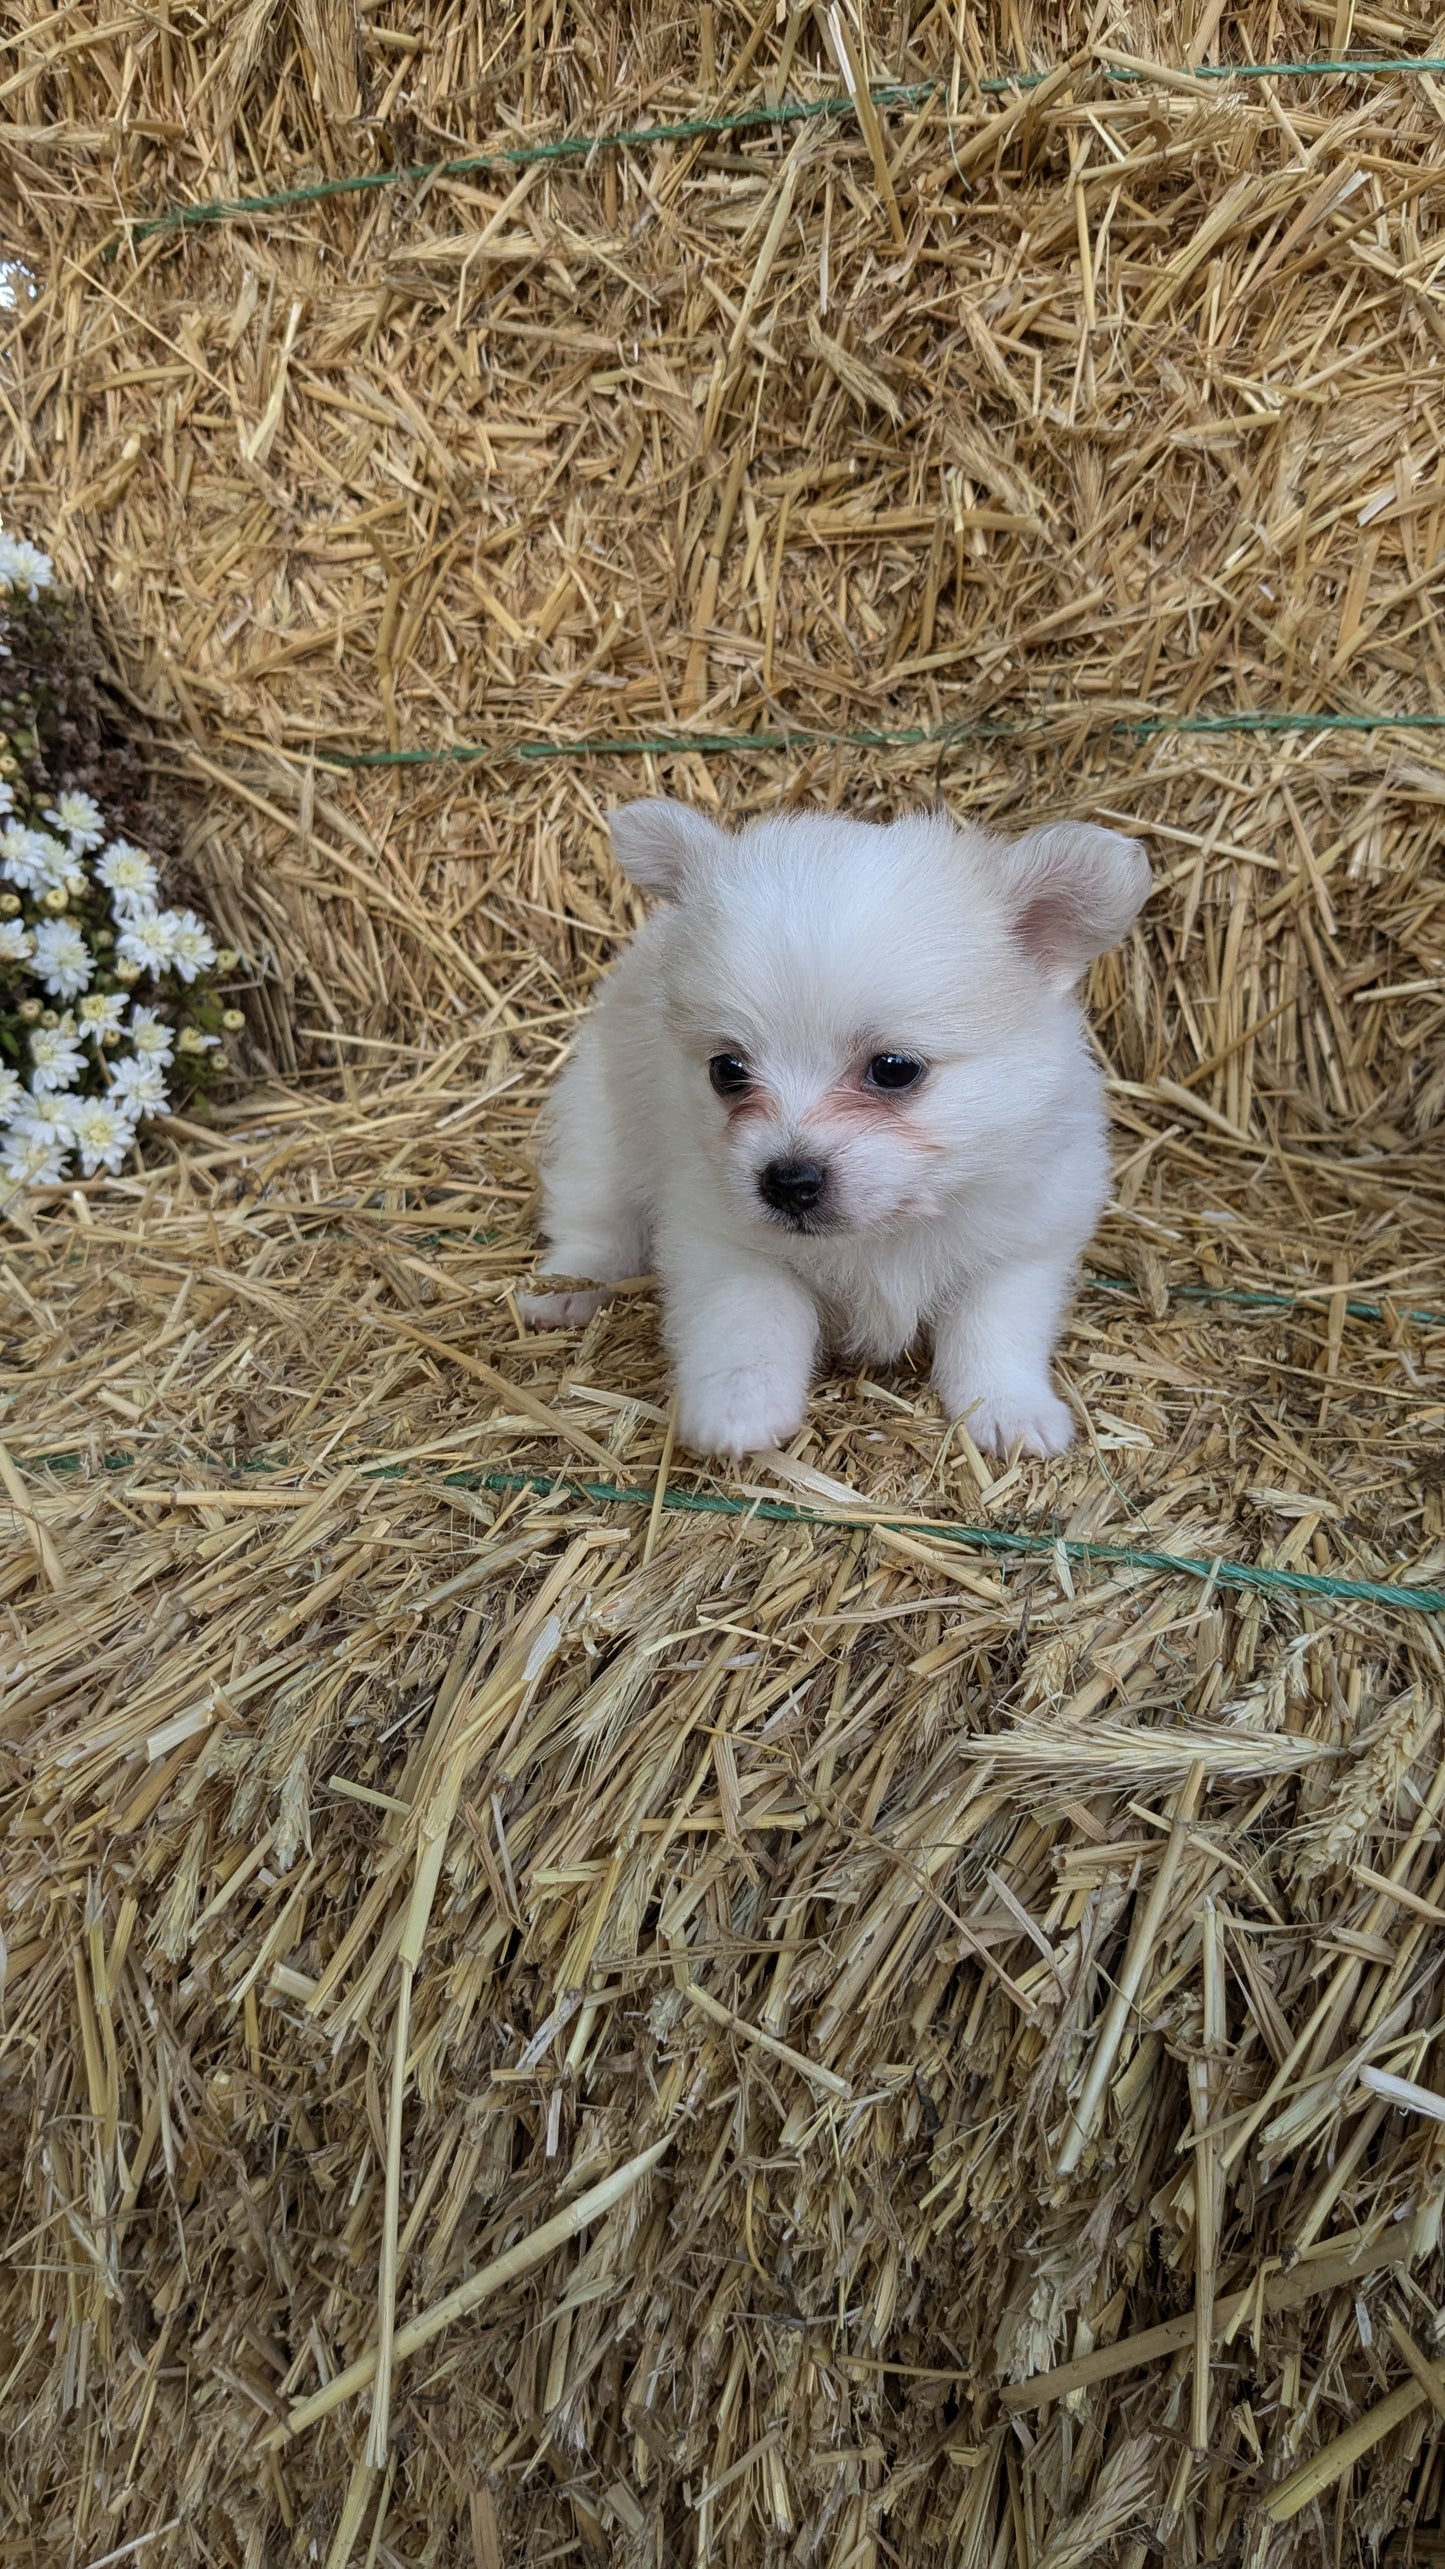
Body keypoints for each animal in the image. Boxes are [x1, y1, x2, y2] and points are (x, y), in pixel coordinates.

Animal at [521, 801, 1141, 1459]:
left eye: (894, 1068)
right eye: (727, 1069)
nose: (786, 1182)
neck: (888, 1231)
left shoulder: (1025, 1243)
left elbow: (995, 1332)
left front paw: (1010, 1410)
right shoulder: (723, 1237)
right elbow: (748, 1316)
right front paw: (739, 1405)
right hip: (598, 1127)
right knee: (596, 1222)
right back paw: (565, 1287)